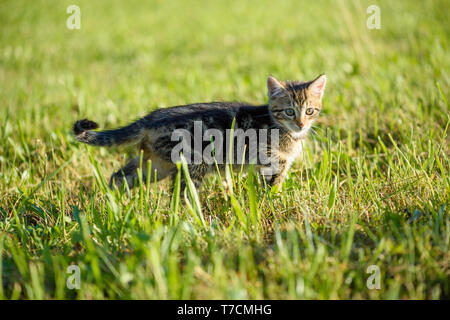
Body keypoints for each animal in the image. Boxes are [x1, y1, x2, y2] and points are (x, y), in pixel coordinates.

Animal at [74, 75, 326, 192]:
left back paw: (111, 202)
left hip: (155, 165)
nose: (301, 124)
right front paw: (273, 203)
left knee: (118, 176)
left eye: (309, 111)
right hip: (193, 165)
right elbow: (272, 188)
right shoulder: (271, 163)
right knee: (181, 197)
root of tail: (150, 118)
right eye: (289, 111)